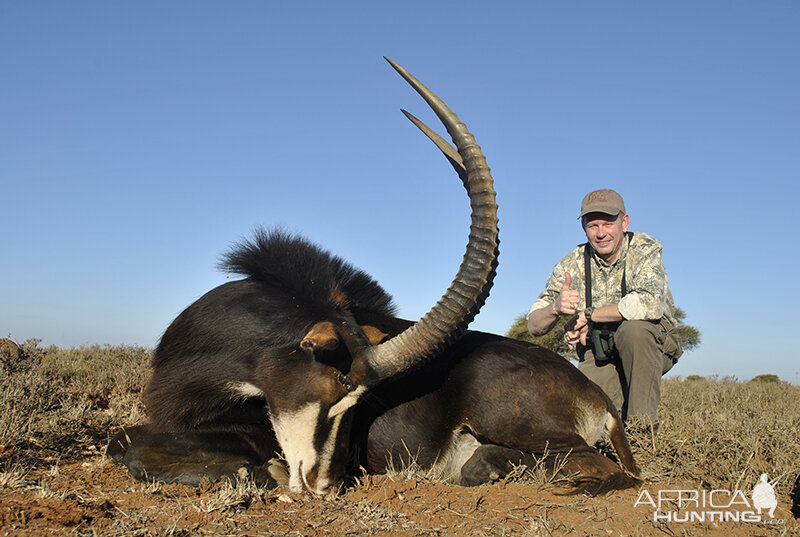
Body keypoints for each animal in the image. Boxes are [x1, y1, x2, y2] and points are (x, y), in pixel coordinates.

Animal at [109, 57, 640, 490]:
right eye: (340, 387)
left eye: (357, 400)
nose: (326, 483)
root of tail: (598, 397)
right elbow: (122, 439)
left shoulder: (243, 431)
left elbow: (138, 451)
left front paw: (262, 472)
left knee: (597, 467)